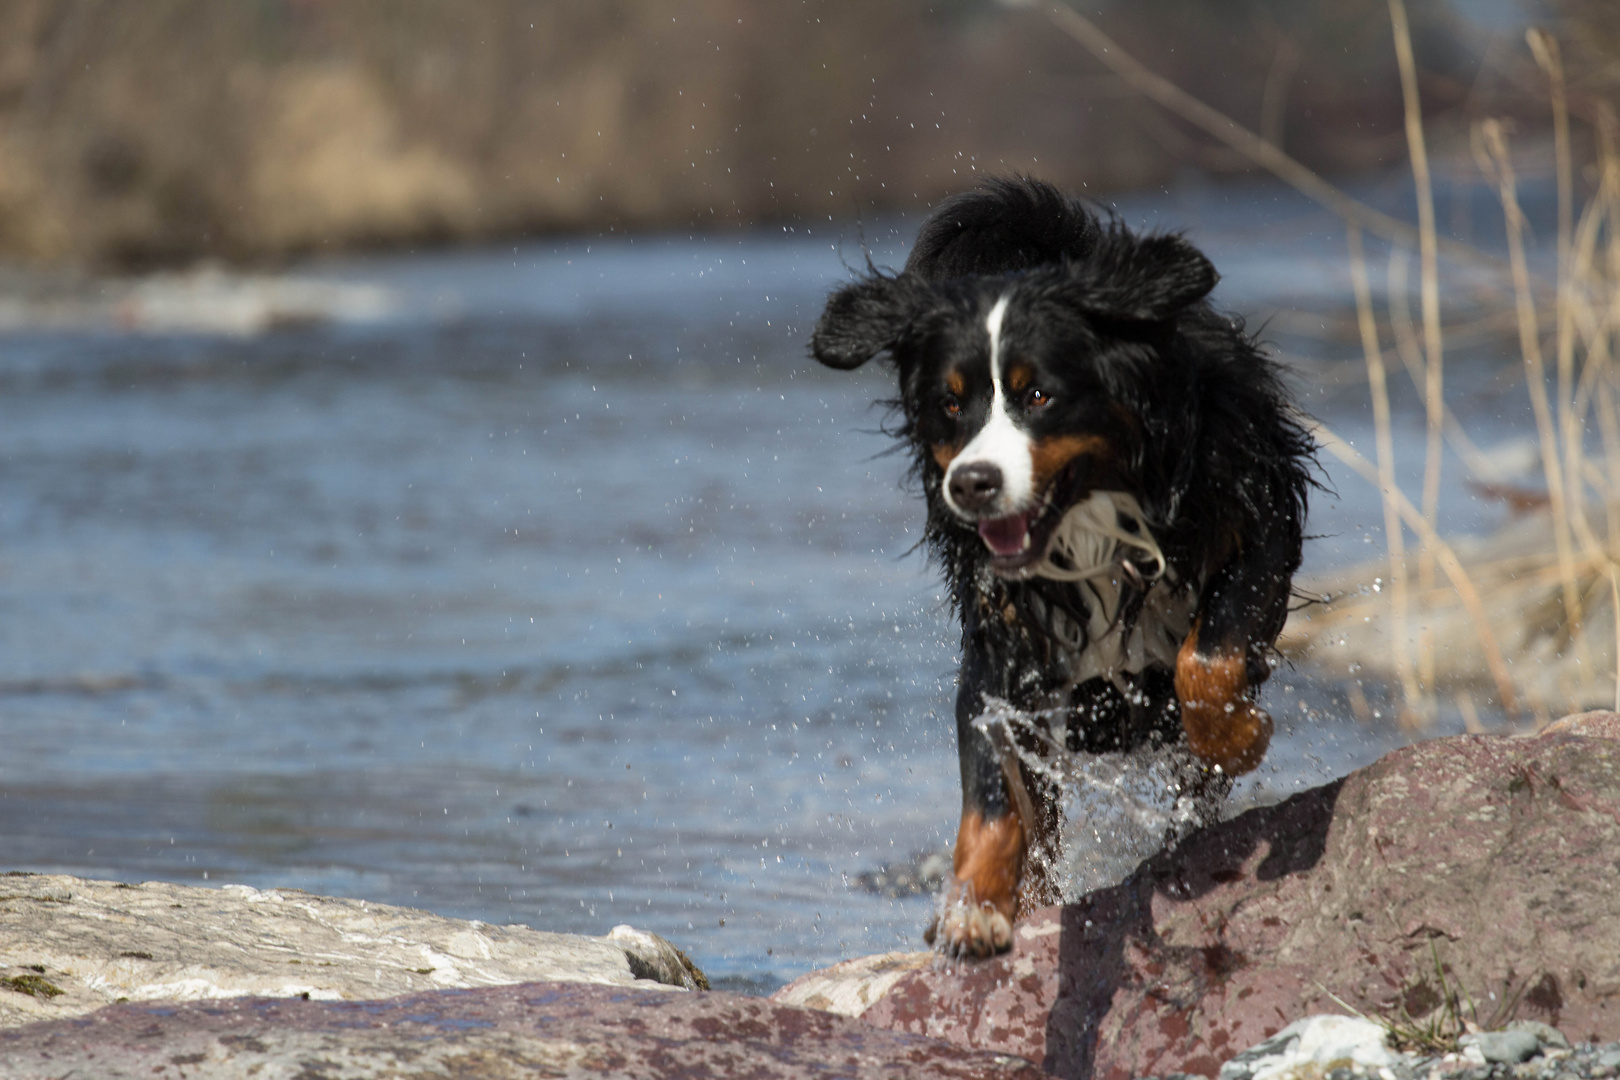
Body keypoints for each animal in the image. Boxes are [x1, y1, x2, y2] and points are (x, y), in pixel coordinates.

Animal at [810, 179, 1315, 965]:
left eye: (1038, 396)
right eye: (950, 404)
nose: (973, 483)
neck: (1092, 513)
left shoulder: (1257, 522)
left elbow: (1206, 663)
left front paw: (1239, 735)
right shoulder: (1003, 635)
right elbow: (993, 784)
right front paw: (976, 908)